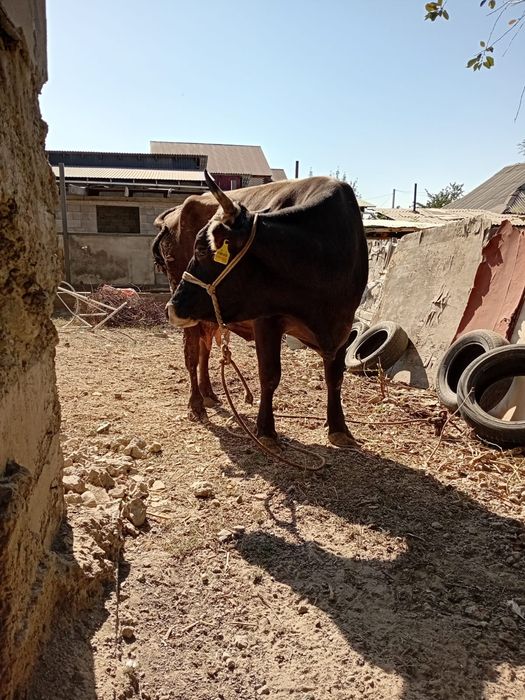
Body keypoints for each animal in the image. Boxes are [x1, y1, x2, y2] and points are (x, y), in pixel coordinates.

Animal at [165, 171, 368, 449]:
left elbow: (335, 377)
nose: (171, 307)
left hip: (208, 316)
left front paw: (339, 428)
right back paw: (196, 404)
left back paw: (209, 394)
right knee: (192, 355)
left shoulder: (344, 324)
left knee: (205, 349)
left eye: (203, 249)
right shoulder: (266, 320)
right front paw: (266, 431)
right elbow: (269, 376)